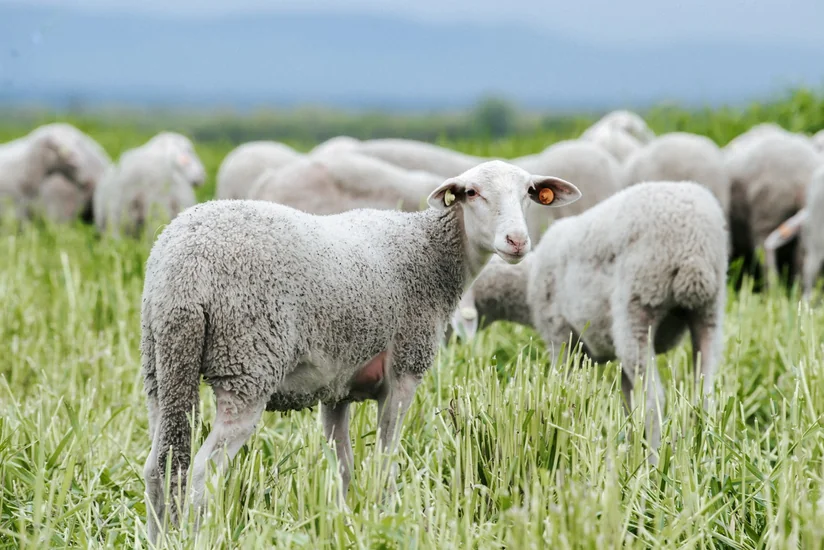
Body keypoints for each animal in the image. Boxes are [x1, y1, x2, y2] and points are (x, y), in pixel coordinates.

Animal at [139, 160, 582, 542]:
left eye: (528, 193)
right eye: (471, 193)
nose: (517, 242)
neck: (431, 254)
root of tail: (182, 272)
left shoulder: (335, 385)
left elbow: (344, 468)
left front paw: (345, 523)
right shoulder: (404, 370)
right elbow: (385, 462)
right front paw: (385, 519)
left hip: (161, 364)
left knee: (159, 467)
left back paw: (161, 539)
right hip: (248, 363)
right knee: (200, 473)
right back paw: (197, 538)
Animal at [453, 181, 728, 464]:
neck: (527, 285)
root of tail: (693, 248)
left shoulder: (559, 335)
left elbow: (565, 389)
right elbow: (628, 400)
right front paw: (630, 445)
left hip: (637, 308)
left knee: (654, 400)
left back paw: (652, 463)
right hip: (709, 311)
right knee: (705, 395)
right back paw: (706, 457)